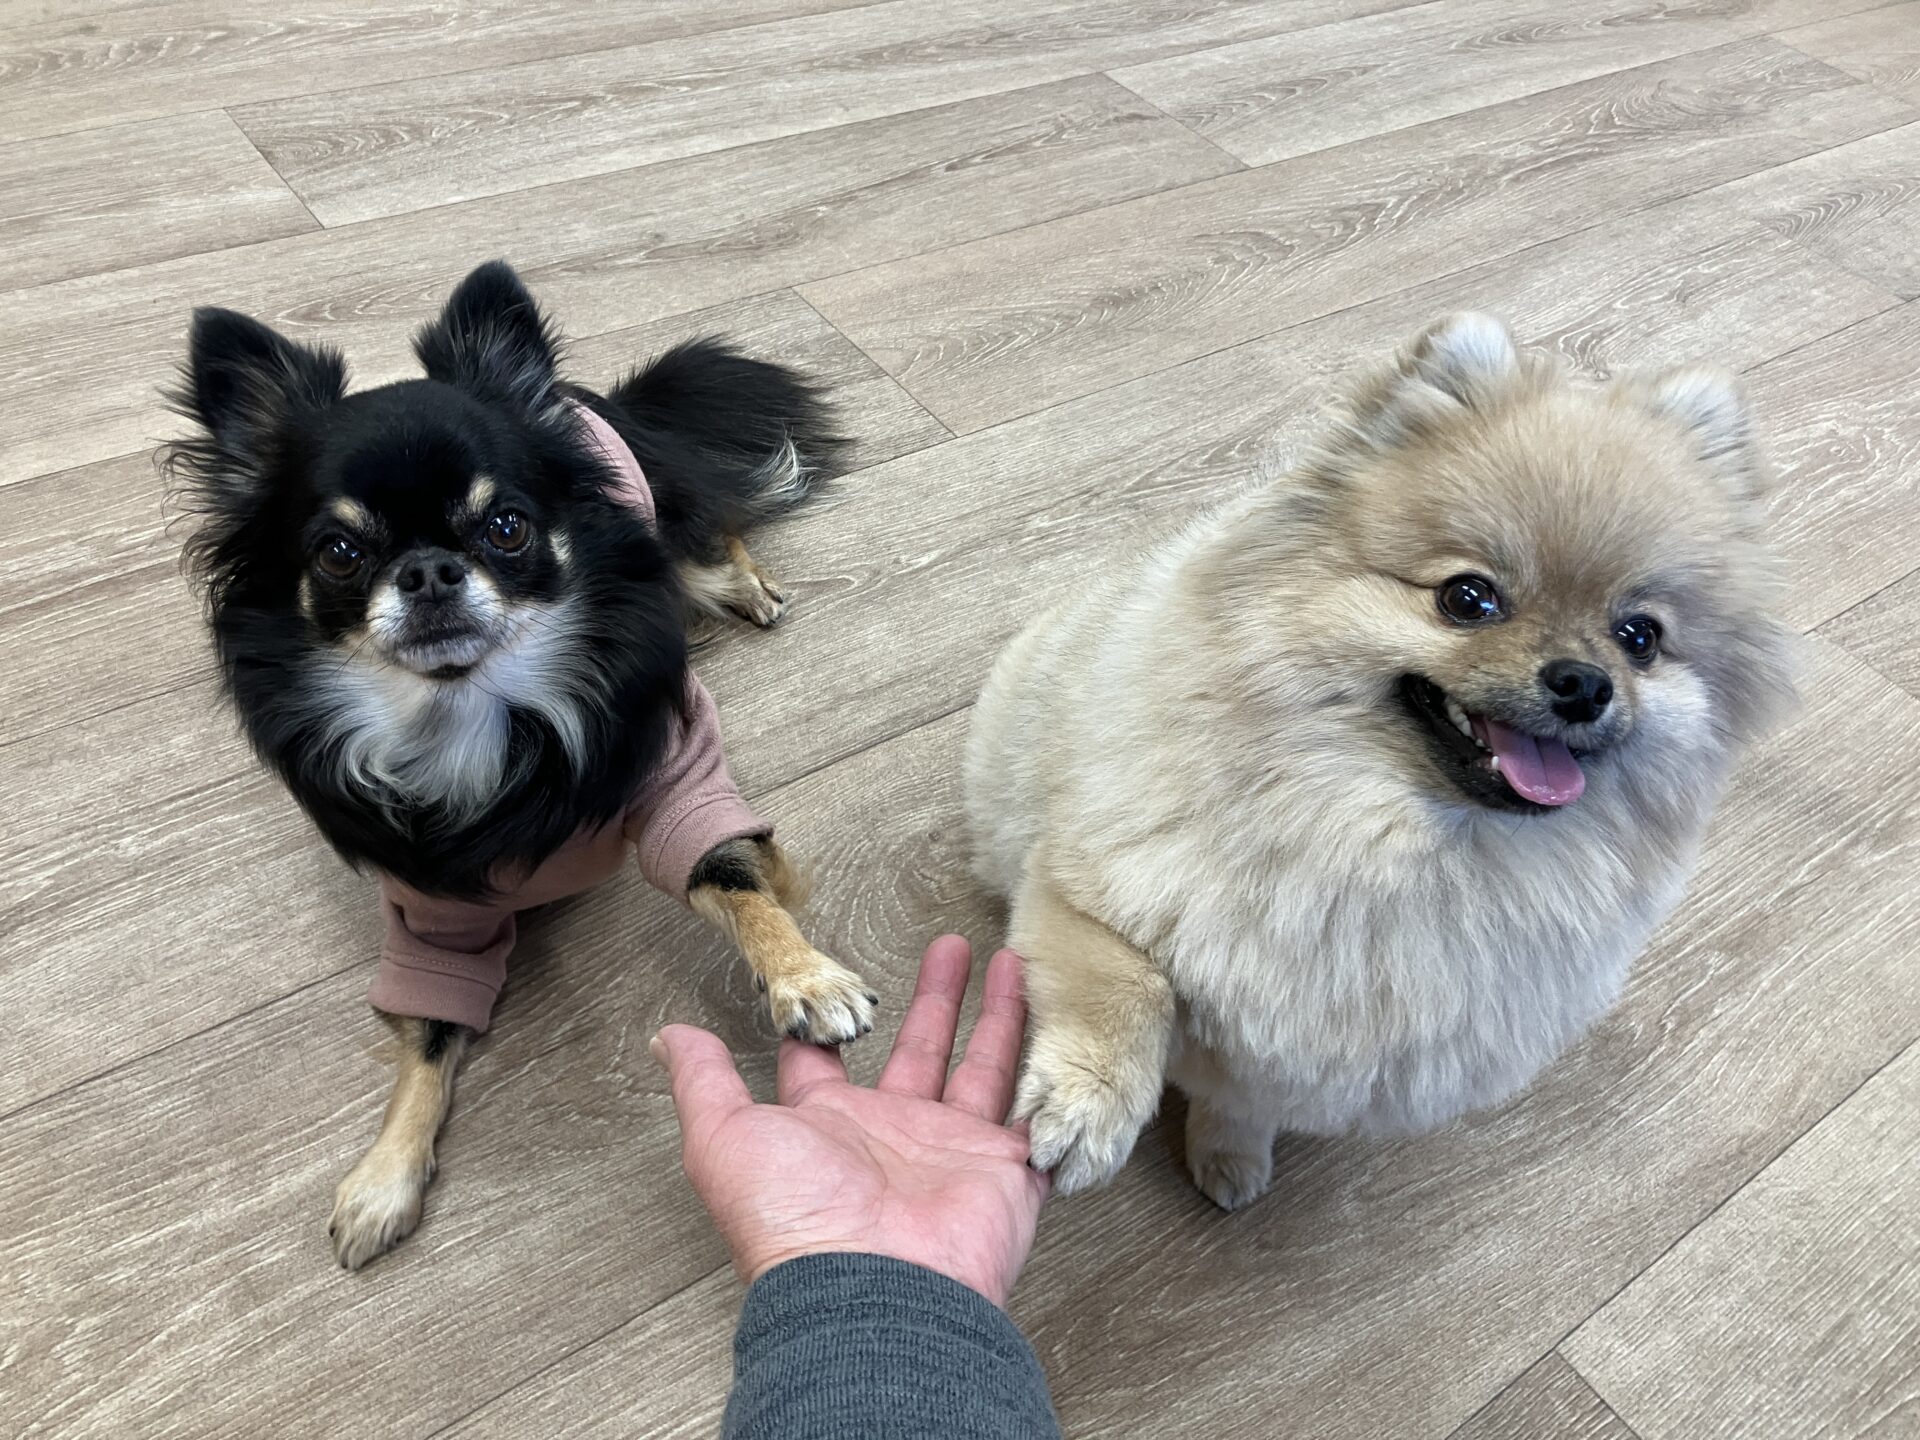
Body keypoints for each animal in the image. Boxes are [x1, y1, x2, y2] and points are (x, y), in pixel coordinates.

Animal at [166, 260, 875, 1267]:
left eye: (505, 527)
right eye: (339, 552)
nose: (428, 571)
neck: (474, 713)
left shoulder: (683, 779)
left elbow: (733, 877)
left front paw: (804, 977)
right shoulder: (432, 914)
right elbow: (427, 1037)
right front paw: (385, 1172)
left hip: (671, 546)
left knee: (710, 534)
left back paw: (749, 584)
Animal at [964, 313, 1795, 1207]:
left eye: (1639, 638)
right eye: (1468, 598)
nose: (1583, 682)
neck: (1389, 843)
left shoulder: (1296, 1062)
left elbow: (1245, 1099)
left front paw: (1227, 1156)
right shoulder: (1082, 887)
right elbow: (1128, 984)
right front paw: (1087, 1107)